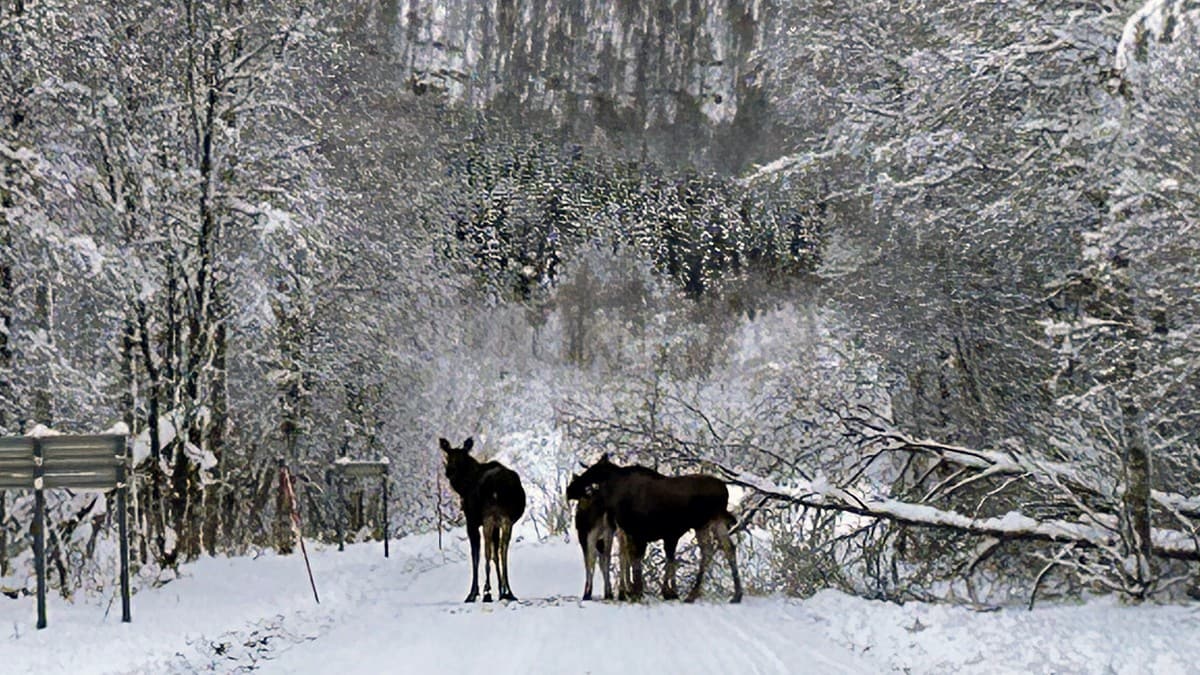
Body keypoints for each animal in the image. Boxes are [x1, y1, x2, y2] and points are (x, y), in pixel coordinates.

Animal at [436, 437, 520, 598]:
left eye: (462, 457)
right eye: (448, 455)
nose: (449, 471)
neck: (463, 488)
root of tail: (498, 488)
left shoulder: (472, 522)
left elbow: (476, 554)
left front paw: (473, 592)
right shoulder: (497, 525)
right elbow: (495, 554)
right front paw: (500, 588)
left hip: (489, 517)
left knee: (488, 551)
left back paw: (488, 590)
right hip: (506, 519)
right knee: (502, 550)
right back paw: (508, 591)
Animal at [564, 454, 739, 600]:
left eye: (592, 471)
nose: (569, 489)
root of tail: (725, 491)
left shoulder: (639, 532)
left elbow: (637, 561)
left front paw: (640, 591)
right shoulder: (643, 533)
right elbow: (640, 560)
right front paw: (645, 591)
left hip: (703, 523)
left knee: (710, 551)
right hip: (712, 523)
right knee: (726, 548)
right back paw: (734, 594)